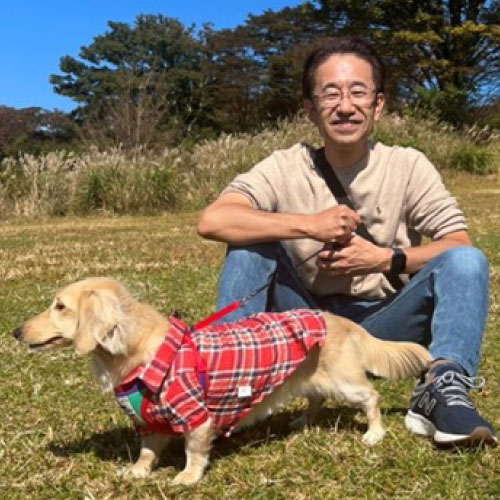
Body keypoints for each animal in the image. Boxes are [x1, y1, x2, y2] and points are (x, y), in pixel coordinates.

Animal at [13, 278, 432, 484]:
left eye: (60, 306)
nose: (16, 331)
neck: (143, 354)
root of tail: (342, 321)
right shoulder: (150, 422)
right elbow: (146, 451)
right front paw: (136, 472)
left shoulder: (196, 417)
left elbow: (193, 451)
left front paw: (186, 478)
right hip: (311, 379)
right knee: (316, 400)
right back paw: (301, 420)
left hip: (344, 381)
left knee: (370, 397)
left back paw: (373, 433)